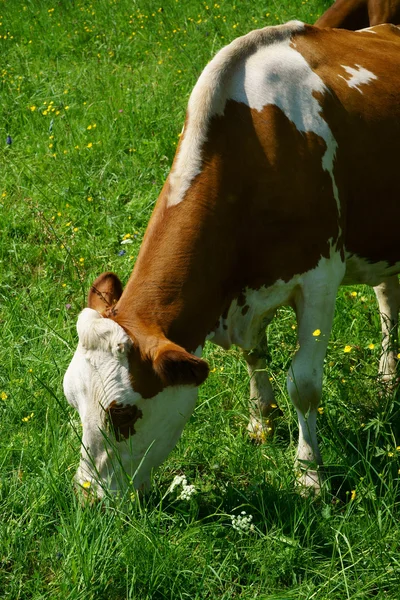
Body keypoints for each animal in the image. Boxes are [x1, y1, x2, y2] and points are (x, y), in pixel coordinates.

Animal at [64, 21, 400, 496]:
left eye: (123, 413)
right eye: (71, 399)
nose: (88, 500)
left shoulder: (319, 279)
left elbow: (304, 384)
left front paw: (309, 475)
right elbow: (255, 356)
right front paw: (263, 423)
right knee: (387, 296)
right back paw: (388, 377)